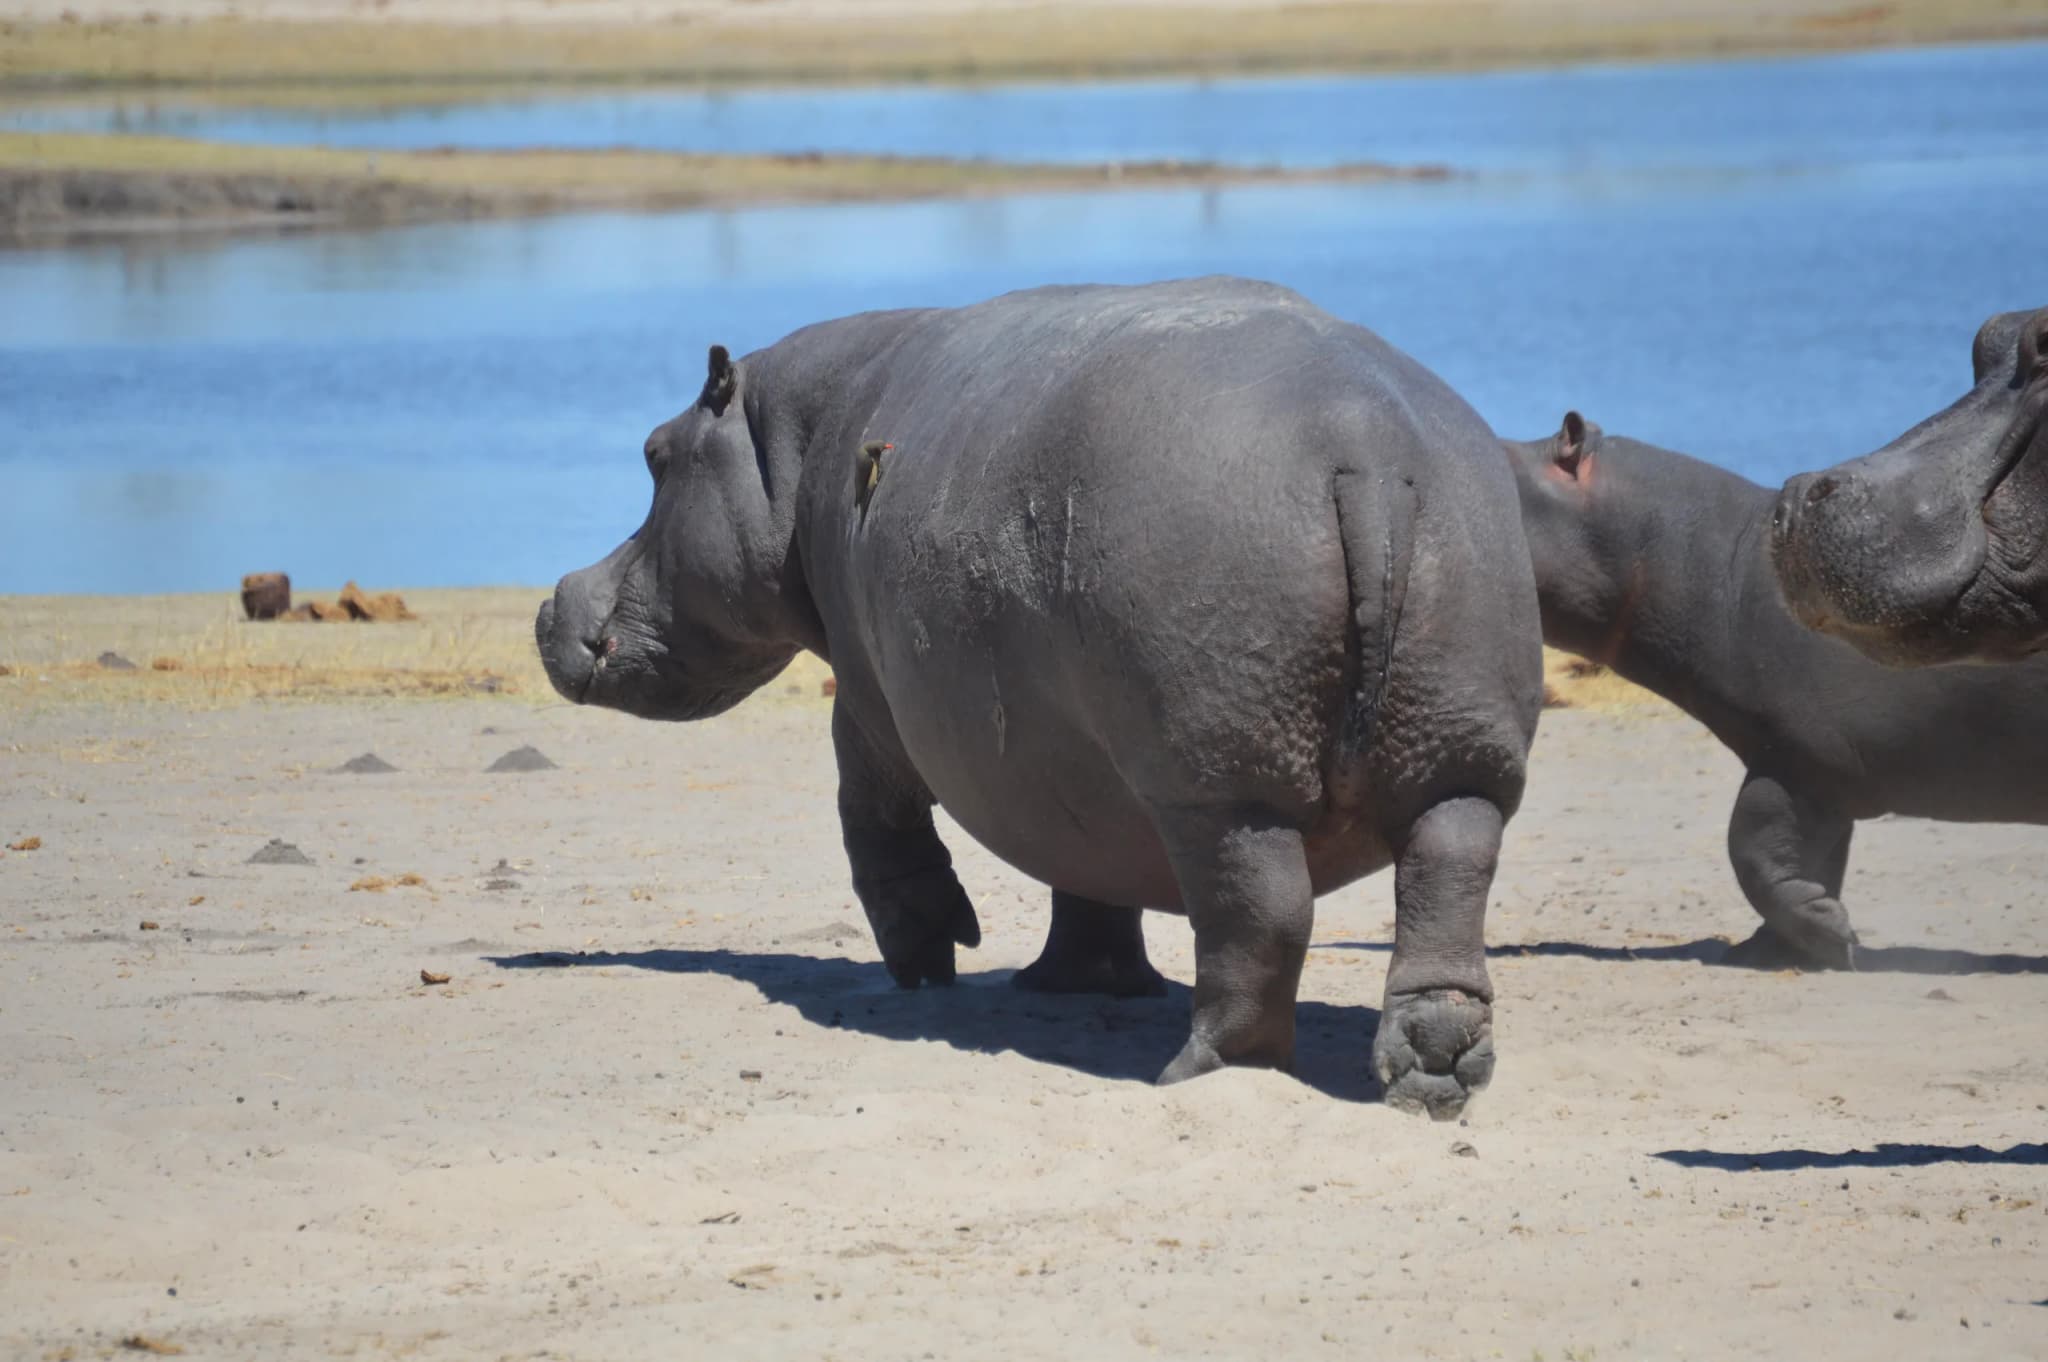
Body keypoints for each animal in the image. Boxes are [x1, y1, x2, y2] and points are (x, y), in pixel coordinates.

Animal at [536, 277, 1542, 1117]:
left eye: (654, 455)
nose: (551, 604)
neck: (786, 442)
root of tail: (1368, 453)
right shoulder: (1067, 758)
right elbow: (1087, 868)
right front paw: (1077, 982)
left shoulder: (868, 693)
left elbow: (874, 815)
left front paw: (932, 962)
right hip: (1457, 748)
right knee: (1447, 882)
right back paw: (1435, 1075)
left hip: (1221, 786)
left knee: (1263, 919)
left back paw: (1199, 1071)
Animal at [1504, 413, 2048, 969]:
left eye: (1498, 455)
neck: (1714, 560)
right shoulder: (1813, 772)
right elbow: (1812, 858)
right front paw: (1775, 949)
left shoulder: (1801, 760)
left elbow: (1753, 847)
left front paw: (1831, 937)